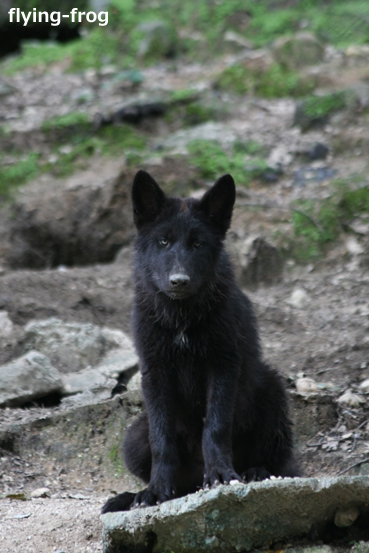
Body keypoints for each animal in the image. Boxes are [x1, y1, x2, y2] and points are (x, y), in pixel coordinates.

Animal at [101, 170, 300, 512]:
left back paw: (255, 472)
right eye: (163, 241)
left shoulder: (223, 366)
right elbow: (162, 439)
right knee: (175, 475)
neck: (182, 319)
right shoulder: (155, 373)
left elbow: (215, 427)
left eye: (197, 244)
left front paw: (220, 474)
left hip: (271, 390)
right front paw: (156, 490)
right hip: (134, 437)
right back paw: (136, 495)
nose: (179, 281)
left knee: (283, 464)